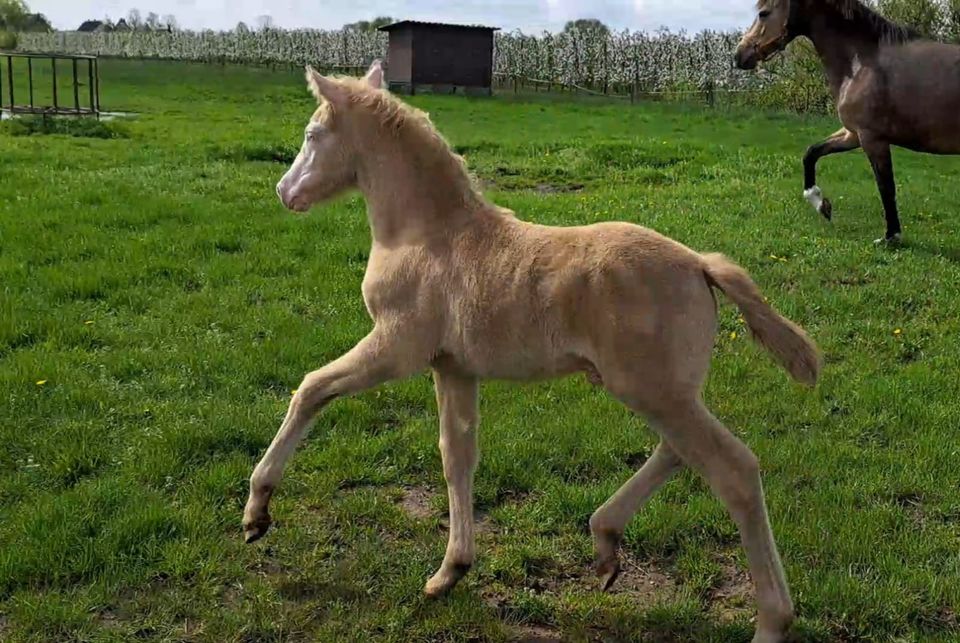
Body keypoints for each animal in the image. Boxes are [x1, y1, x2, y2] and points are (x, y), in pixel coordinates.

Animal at [244, 61, 820, 643]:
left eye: (312, 134)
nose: (283, 191)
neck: (426, 235)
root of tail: (700, 263)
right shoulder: (453, 367)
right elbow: (457, 455)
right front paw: (450, 572)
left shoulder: (396, 347)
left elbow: (310, 389)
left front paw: (257, 512)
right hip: (666, 391)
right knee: (679, 451)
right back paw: (605, 541)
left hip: (653, 390)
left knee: (734, 470)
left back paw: (771, 619)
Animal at [736, 0, 960, 244]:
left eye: (763, 13)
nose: (739, 56)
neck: (862, 64)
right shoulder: (852, 134)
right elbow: (811, 153)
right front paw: (820, 204)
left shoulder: (872, 138)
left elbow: (886, 186)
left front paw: (891, 236)